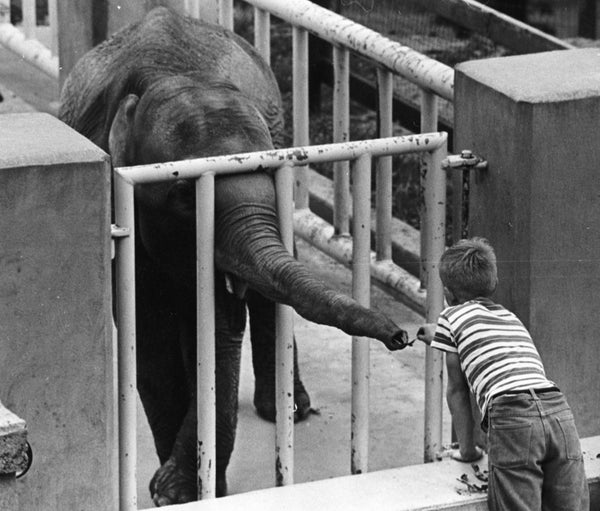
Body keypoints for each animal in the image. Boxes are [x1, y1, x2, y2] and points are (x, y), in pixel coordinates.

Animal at [58, 8, 410, 508]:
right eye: (185, 196)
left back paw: (288, 410)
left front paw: (183, 488)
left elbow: (216, 326)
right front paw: (180, 493)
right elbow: (153, 331)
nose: (402, 336)